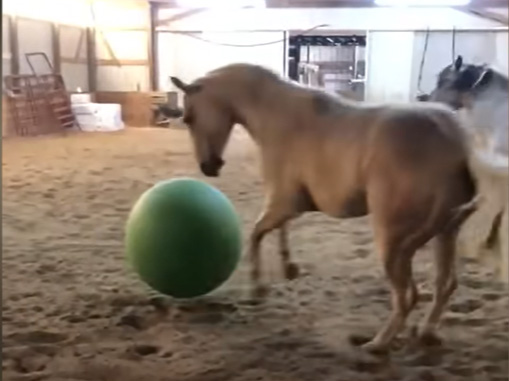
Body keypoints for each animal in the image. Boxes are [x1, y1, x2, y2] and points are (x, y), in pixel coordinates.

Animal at [173, 63, 478, 352]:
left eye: (188, 118)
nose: (208, 167)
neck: (279, 116)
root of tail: (455, 144)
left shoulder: (283, 201)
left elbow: (256, 233)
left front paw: (257, 288)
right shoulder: (288, 202)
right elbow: (277, 229)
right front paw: (289, 268)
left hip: (393, 241)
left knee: (407, 296)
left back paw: (377, 344)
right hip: (445, 233)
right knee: (445, 284)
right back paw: (426, 333)